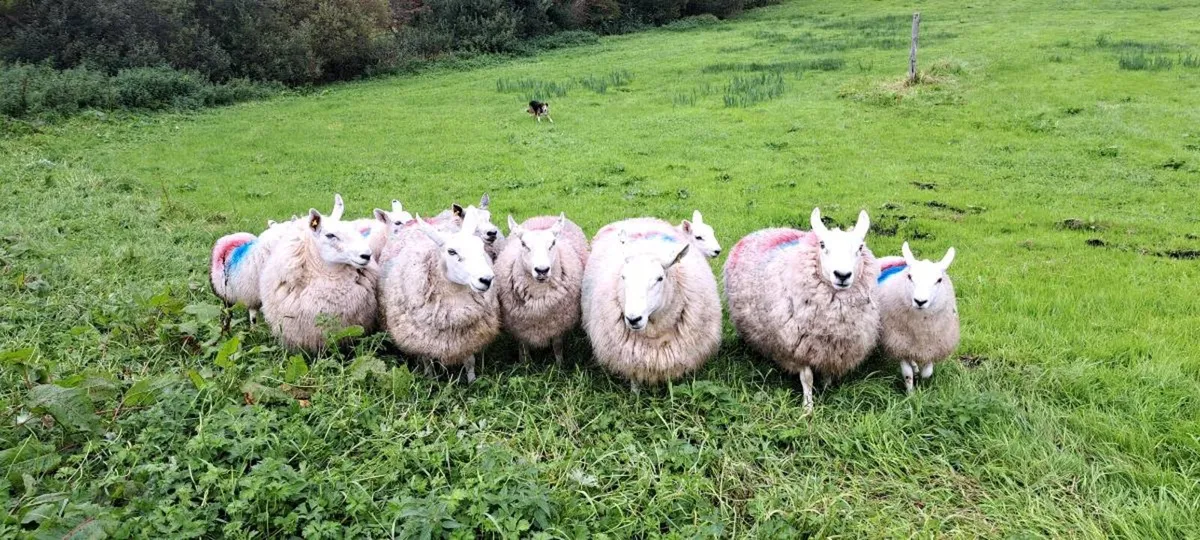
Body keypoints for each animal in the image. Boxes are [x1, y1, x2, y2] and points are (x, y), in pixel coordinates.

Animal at [378, 211, 500, 382]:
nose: (487, 279)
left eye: (480, 248)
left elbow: (469, 362)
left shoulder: (468, 338)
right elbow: (426, 361)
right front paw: (430, 379)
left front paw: (472, 381)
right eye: (451, 251)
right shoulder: (421, 339)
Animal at [494, 213, 589, 364]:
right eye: (523, 244)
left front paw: (559, 365)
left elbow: (557, 346)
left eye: (553, 243)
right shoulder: (519, 326)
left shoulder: (557, 325)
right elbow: (523, 346)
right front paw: (525, 364)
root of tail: (545, 216)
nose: (542, 270)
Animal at [581, 218, 722, 391]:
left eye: (660, 278)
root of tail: (636, 219)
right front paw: (635, 395)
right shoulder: (631, 358)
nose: (633, 319)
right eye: (623, 277)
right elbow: (634, 379)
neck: (654, 332)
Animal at [723, 208, 880, 413]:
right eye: (822, 245)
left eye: (860, 248)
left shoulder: (832, 348)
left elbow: (827, 373)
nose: (842, 275)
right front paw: (808, 407)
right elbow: (807, 378)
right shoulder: (798, 347)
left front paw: (826, 389)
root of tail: (763, 230)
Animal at [877, 242, 959, 393]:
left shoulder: (932, 346)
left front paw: (922, 380)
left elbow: (927, 372)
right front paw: (911, 394)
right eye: (909, 276)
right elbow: (907, 374)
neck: (921, 328)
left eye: (939, 280)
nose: (920, 301)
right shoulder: (899, 344)